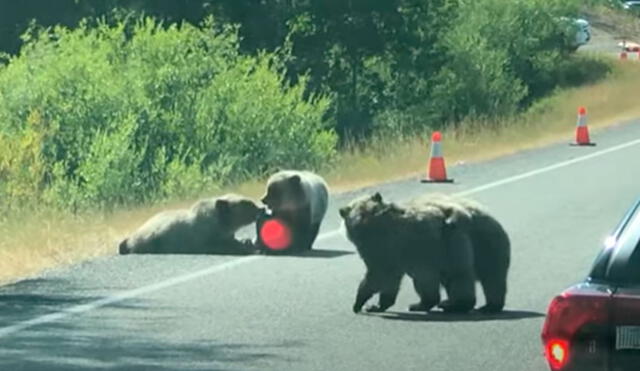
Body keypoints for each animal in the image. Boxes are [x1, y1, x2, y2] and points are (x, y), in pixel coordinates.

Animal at [117, 195, 262, 256]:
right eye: (248, 204)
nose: (261, 208)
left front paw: (246, 241)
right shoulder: (205, 238)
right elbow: (223, 246)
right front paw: (250, 248)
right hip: (151, 239)